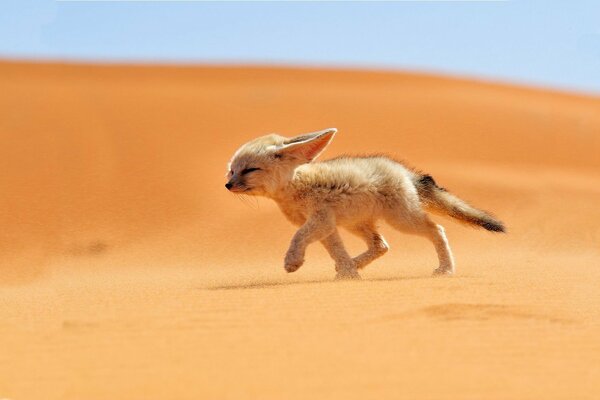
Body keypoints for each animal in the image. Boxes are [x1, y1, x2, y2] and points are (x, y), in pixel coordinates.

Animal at [227, 130, 504, 280]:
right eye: (231, 170)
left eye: (250, 170)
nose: (228, 185)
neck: (295, 186)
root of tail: (404, 171)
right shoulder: (327, 226)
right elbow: (336, 251)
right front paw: (349, 274)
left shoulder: (320, 220)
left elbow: (298, 237)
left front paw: (293, 261)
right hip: (357, 224)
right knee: (381, 245)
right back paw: (353, 265)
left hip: (402, 221)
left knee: (437, 230)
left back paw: (446, 269)